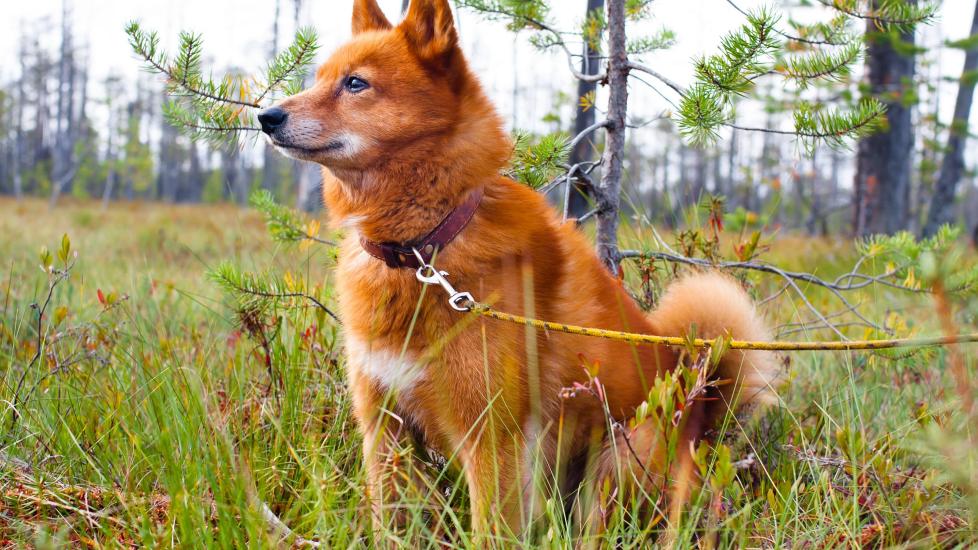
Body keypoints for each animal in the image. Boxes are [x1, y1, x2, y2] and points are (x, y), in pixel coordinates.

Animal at [260, 0, 776, 544]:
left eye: (355, 83)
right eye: (319, 78)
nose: (265, 116)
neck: (424, 249)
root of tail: (699, 411)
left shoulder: (493, 440)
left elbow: (490, 530)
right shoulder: (385, 431)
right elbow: (390, 526)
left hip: (618, 459)